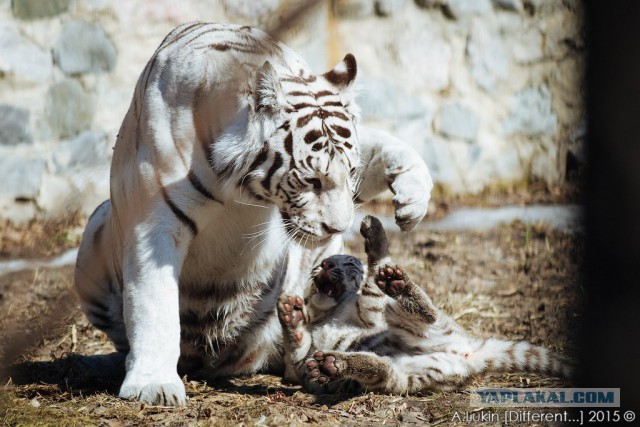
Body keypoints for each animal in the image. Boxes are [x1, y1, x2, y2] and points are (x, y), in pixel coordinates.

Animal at [75, 21, 436, 406]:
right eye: (311, 180)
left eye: (351, 172)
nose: (338, 228)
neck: (239, 188)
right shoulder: (154, 222)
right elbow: (154, 304)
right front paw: (153, 384)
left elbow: (385, 143)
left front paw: (413, 199)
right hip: (94, 234)